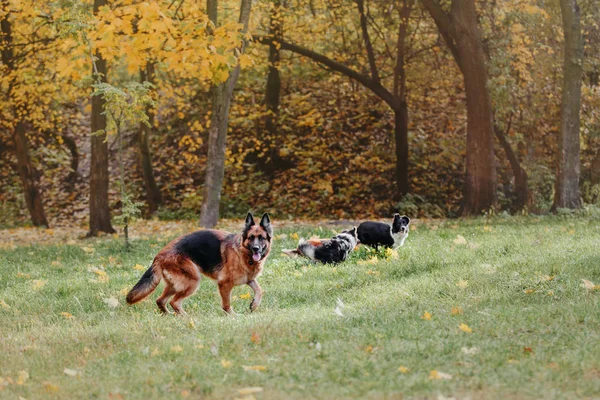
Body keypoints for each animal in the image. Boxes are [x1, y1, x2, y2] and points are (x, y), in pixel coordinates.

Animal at [126, 212, 272, 316]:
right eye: (251, 238)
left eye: (262, 238)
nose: (256, 249)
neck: (241, 251)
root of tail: (159, 256)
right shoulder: (224, 284)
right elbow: (226, 304)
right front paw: (232, 316)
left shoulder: (249, 279)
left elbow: (259, 290)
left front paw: (254, 304)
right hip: (193, 281)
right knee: (174, 302)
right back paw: (186, 317)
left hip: (176, 284)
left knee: (160, 301)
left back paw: (170, 315)